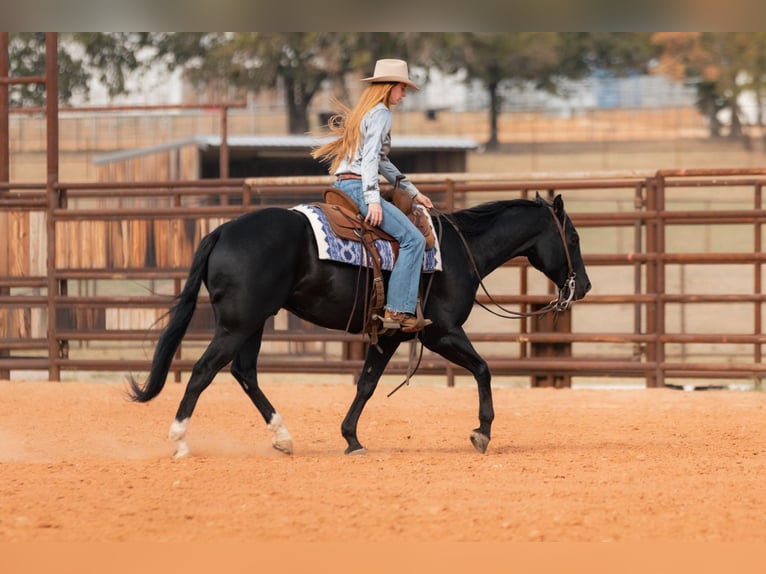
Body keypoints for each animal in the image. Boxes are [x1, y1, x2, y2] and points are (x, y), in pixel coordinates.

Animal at [127, 194, 592, 460]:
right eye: (572, 239)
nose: (584, 285)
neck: (460, 252)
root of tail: (222, 232)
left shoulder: (391, 334)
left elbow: (366, 383)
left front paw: (351, 438)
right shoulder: (440, 332)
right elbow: (482, 369)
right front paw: (482, 432)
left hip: (252, 323)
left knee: (244, 373)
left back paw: (283, 437)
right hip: (238, 324)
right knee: (204, 371)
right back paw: (180, 440)